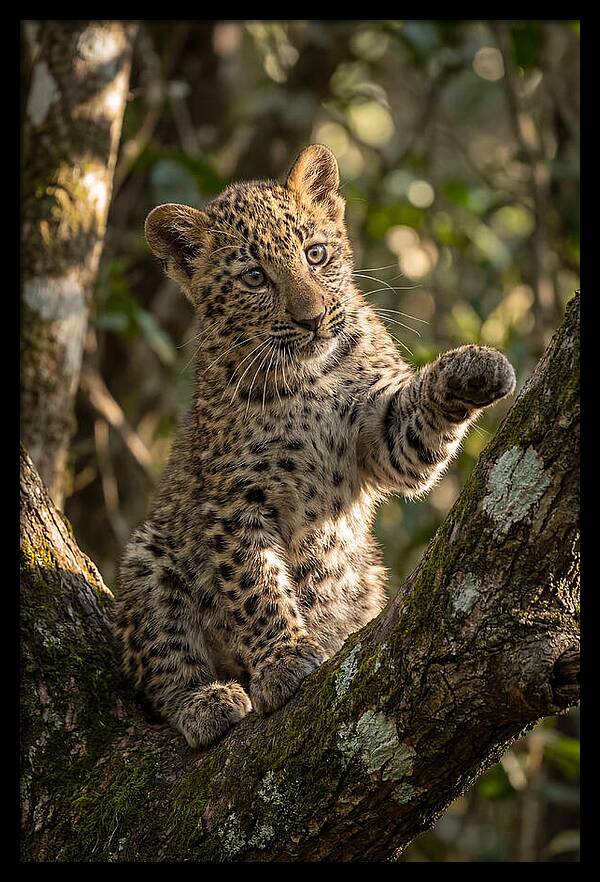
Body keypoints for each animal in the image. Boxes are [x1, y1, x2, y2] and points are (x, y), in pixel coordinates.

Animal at [114, 144, 516, 748]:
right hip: (150, 556)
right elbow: (255, 586)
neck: (310, 379)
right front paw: (283, 660)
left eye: (316, 253)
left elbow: (414, 425)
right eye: (256, 277)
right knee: (160, 665)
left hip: (366, 577)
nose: (313, 318)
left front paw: (476, 366)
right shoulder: (235, 500)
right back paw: (206, 701)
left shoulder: (381, 436)